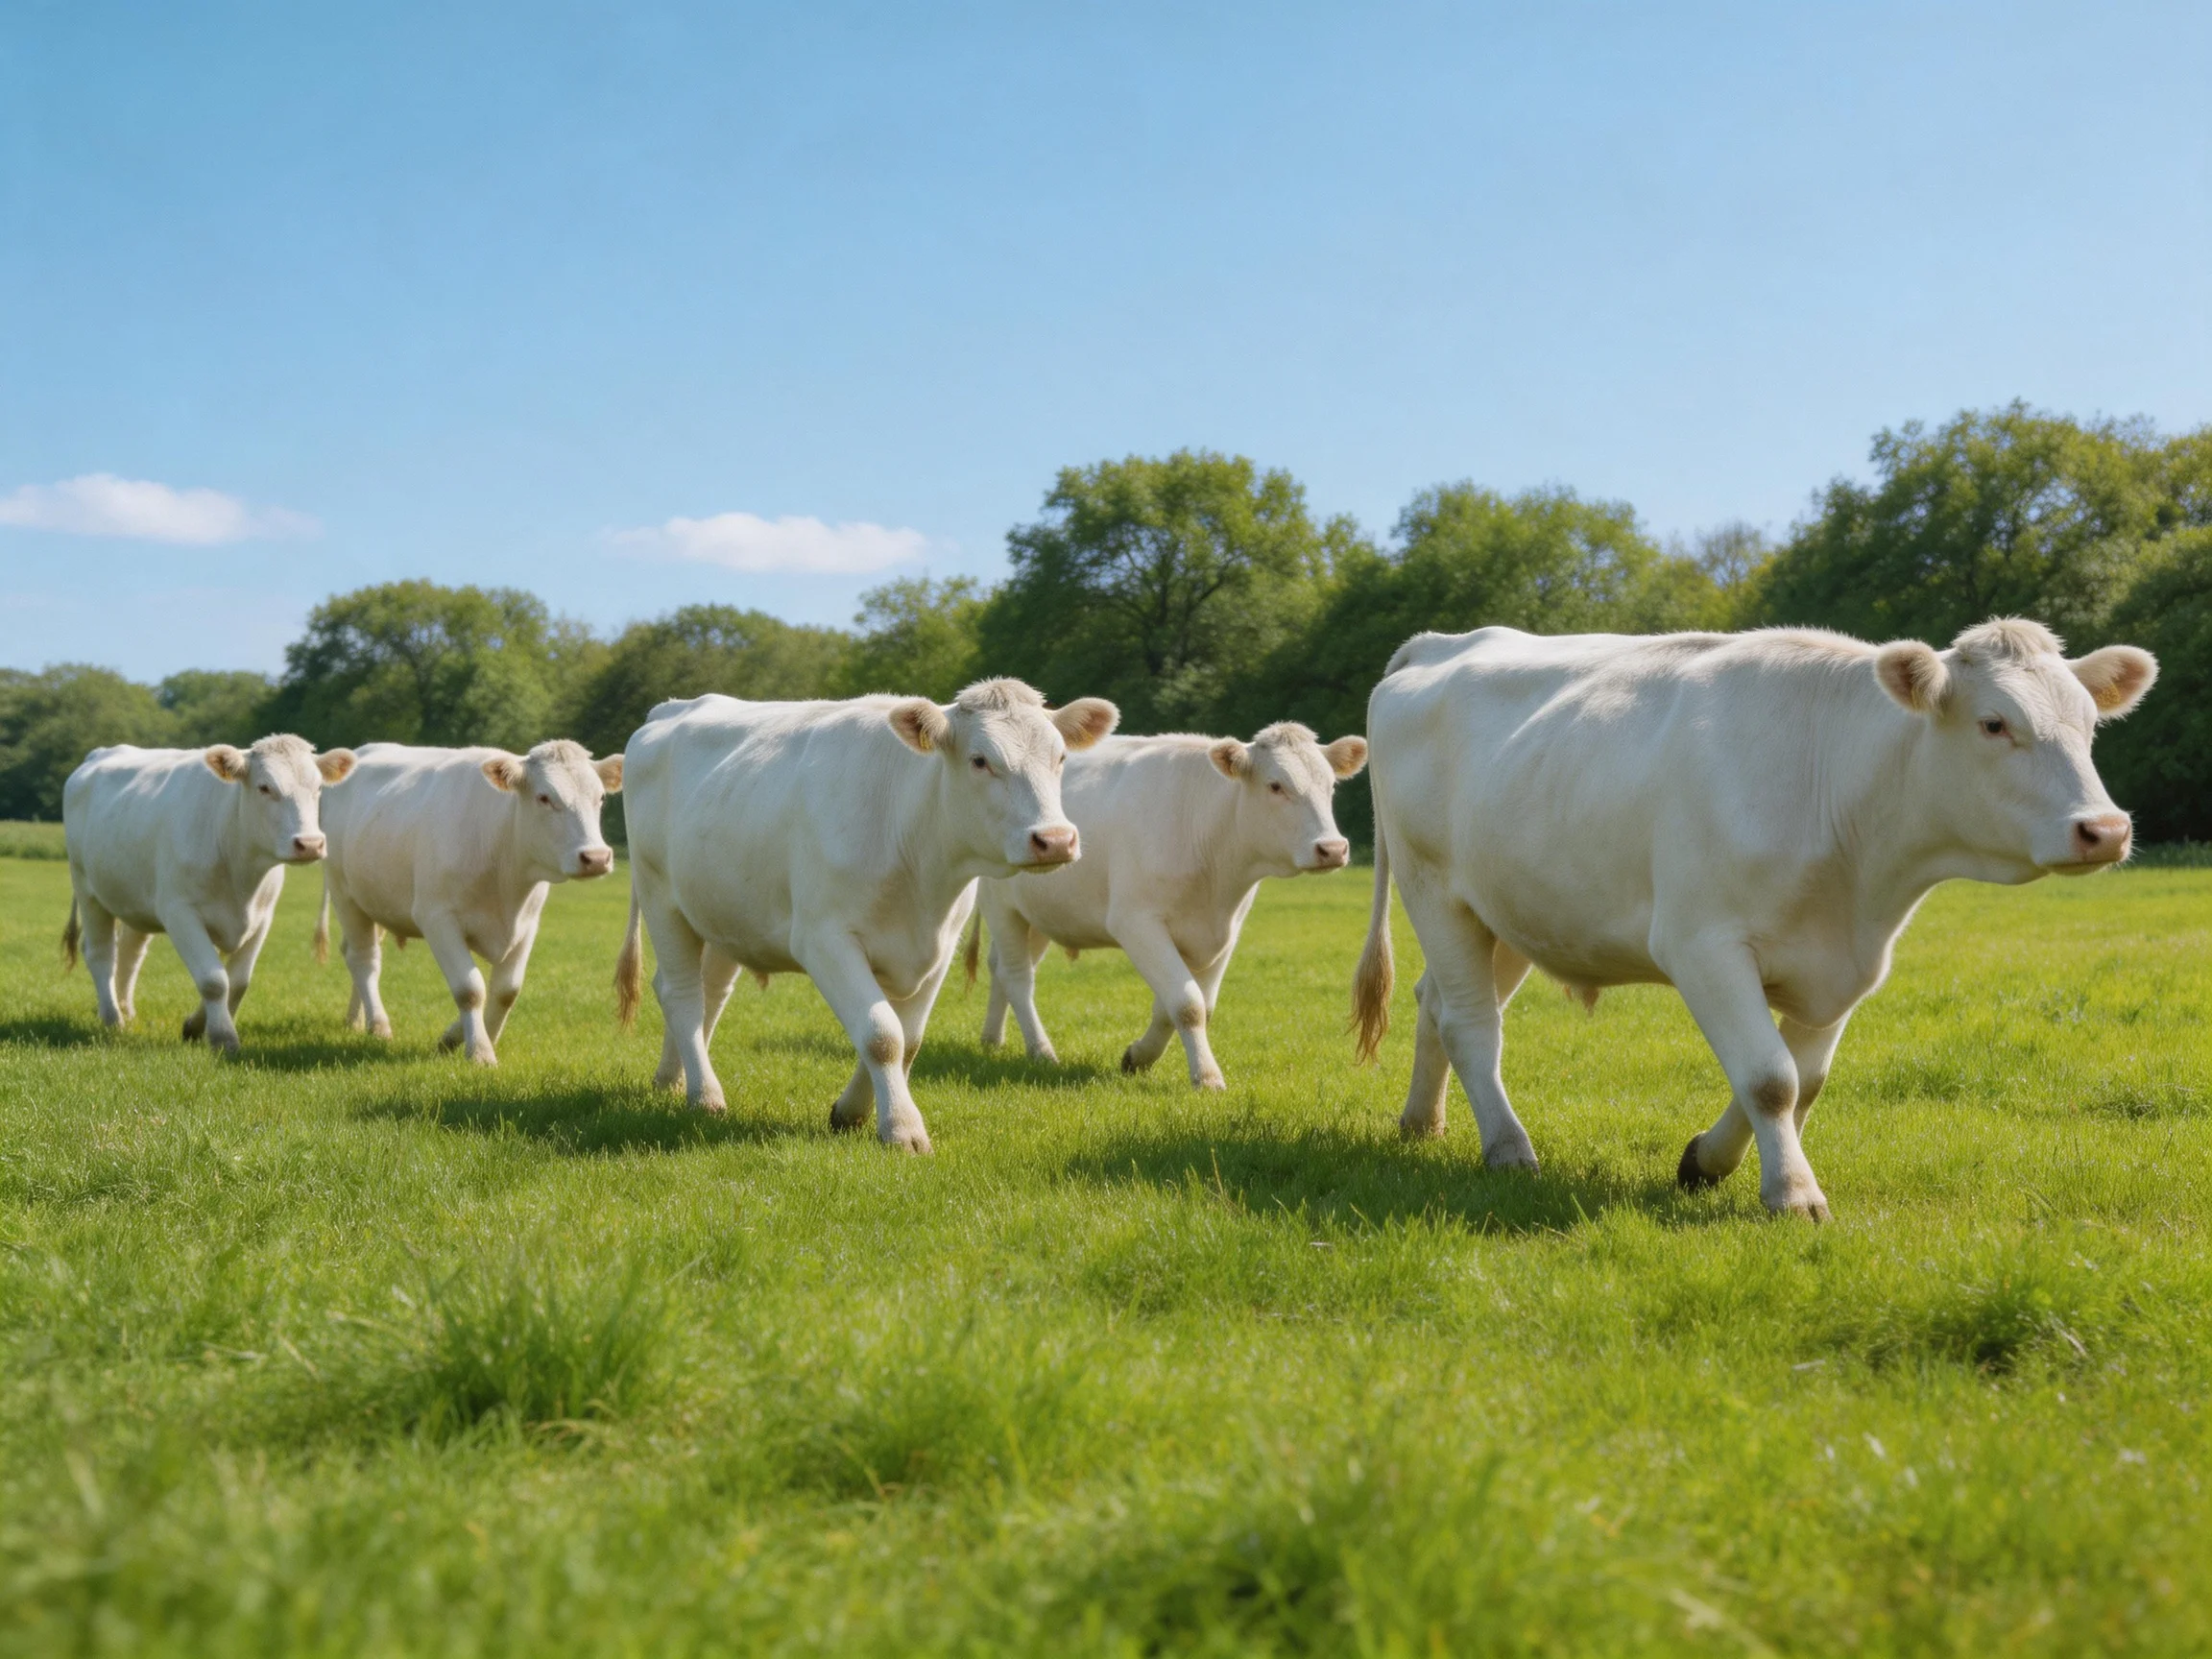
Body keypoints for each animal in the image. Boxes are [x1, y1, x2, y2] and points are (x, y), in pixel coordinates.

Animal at [61, 735, 357, 1051]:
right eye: (264, 787)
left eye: (318, 787)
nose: (310, 844)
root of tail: (101, 753)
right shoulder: (180, 913)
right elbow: (214, 980)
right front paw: (223, 1038)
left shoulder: (262, 918)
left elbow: (237, 981)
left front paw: (196, 1026)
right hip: (87, 889)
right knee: (100, 953)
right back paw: (112, 1018)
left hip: (134, 899)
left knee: (130, 952)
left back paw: (126, 1011)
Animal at [312, 741, 623, 1063]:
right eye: (544, 797)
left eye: (600, 797)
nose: (596, 857)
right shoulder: (436, 918)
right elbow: (469, 989)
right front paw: (480, 1052)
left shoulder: (528, 924)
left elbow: (506, 991)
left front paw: (461, 1038)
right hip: (344, 894)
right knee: (364, 959)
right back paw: (378, 1024)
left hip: (375, 899)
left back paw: (355, 1019)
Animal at [613, 679, 1118, 1150]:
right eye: (979, 760)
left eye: (1060, 757)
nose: (1055, 839)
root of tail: (672, 707)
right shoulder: (824, 939)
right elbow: (881, 1034)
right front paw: (902, 1128)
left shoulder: (938, 947)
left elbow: (906, 1039)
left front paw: (851, 1112)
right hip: (660, 896)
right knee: (681, 993)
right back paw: (704, 1094)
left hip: (725, 913)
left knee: (710, 993)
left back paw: (672, 1078)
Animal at [967, 722, 1368, 1089]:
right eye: (1275, 785)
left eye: (1331, 786)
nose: (1332, 848)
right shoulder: (1136, 923)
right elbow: (1187, 1004)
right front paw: (1207, 1077)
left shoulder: (1225, 932)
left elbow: (1186, 1005)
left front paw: (1138, 1057)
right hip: (1002, 907)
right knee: (1017, 976)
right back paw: (1041, 1051)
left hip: (1039, 914)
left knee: (1001, 967)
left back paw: (992, 1038)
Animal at [1351, 619, 2157, 1219]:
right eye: (1994, 724)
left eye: (2089, 725)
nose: (2106, 829)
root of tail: (1444, 641)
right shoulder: (1702, 945)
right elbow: (1771, 1078)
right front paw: (1793, 1194)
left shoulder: (1847, 963)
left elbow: (1806, 1079)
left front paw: (1707, 1162)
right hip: (1435, 889)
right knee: (1472, 1024)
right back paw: (1509, 1149)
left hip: (1513, 907)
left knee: (1437, 1004)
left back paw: (1422, 1123)